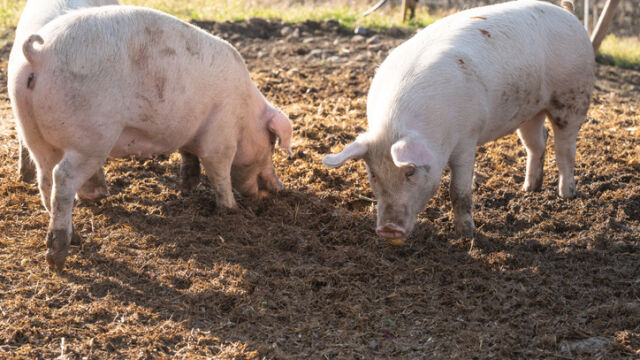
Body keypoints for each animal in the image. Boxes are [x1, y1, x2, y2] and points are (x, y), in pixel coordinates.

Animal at [324, 1, 596, 242]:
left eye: (410, 171)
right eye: (373, 174)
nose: (389, 229)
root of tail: (569, 14)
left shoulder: (467, 138)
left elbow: (459, 190)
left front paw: (467, 235)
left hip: (573, 96)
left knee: (565, 148)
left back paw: (566, 194)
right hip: (529, 110)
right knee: (537, 143)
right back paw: (528, 189)